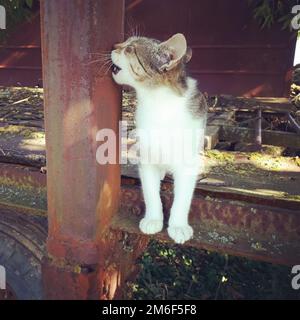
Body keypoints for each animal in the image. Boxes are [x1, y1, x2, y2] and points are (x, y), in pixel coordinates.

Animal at [111, 33, 207, 244]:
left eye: (129, 49)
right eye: (125, 43)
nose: (113, 46)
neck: (158, 102)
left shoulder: (187, 163)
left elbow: (183, 197)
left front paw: (178, 226)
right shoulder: (146, 157)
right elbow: (150, 191)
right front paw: (153, 219)